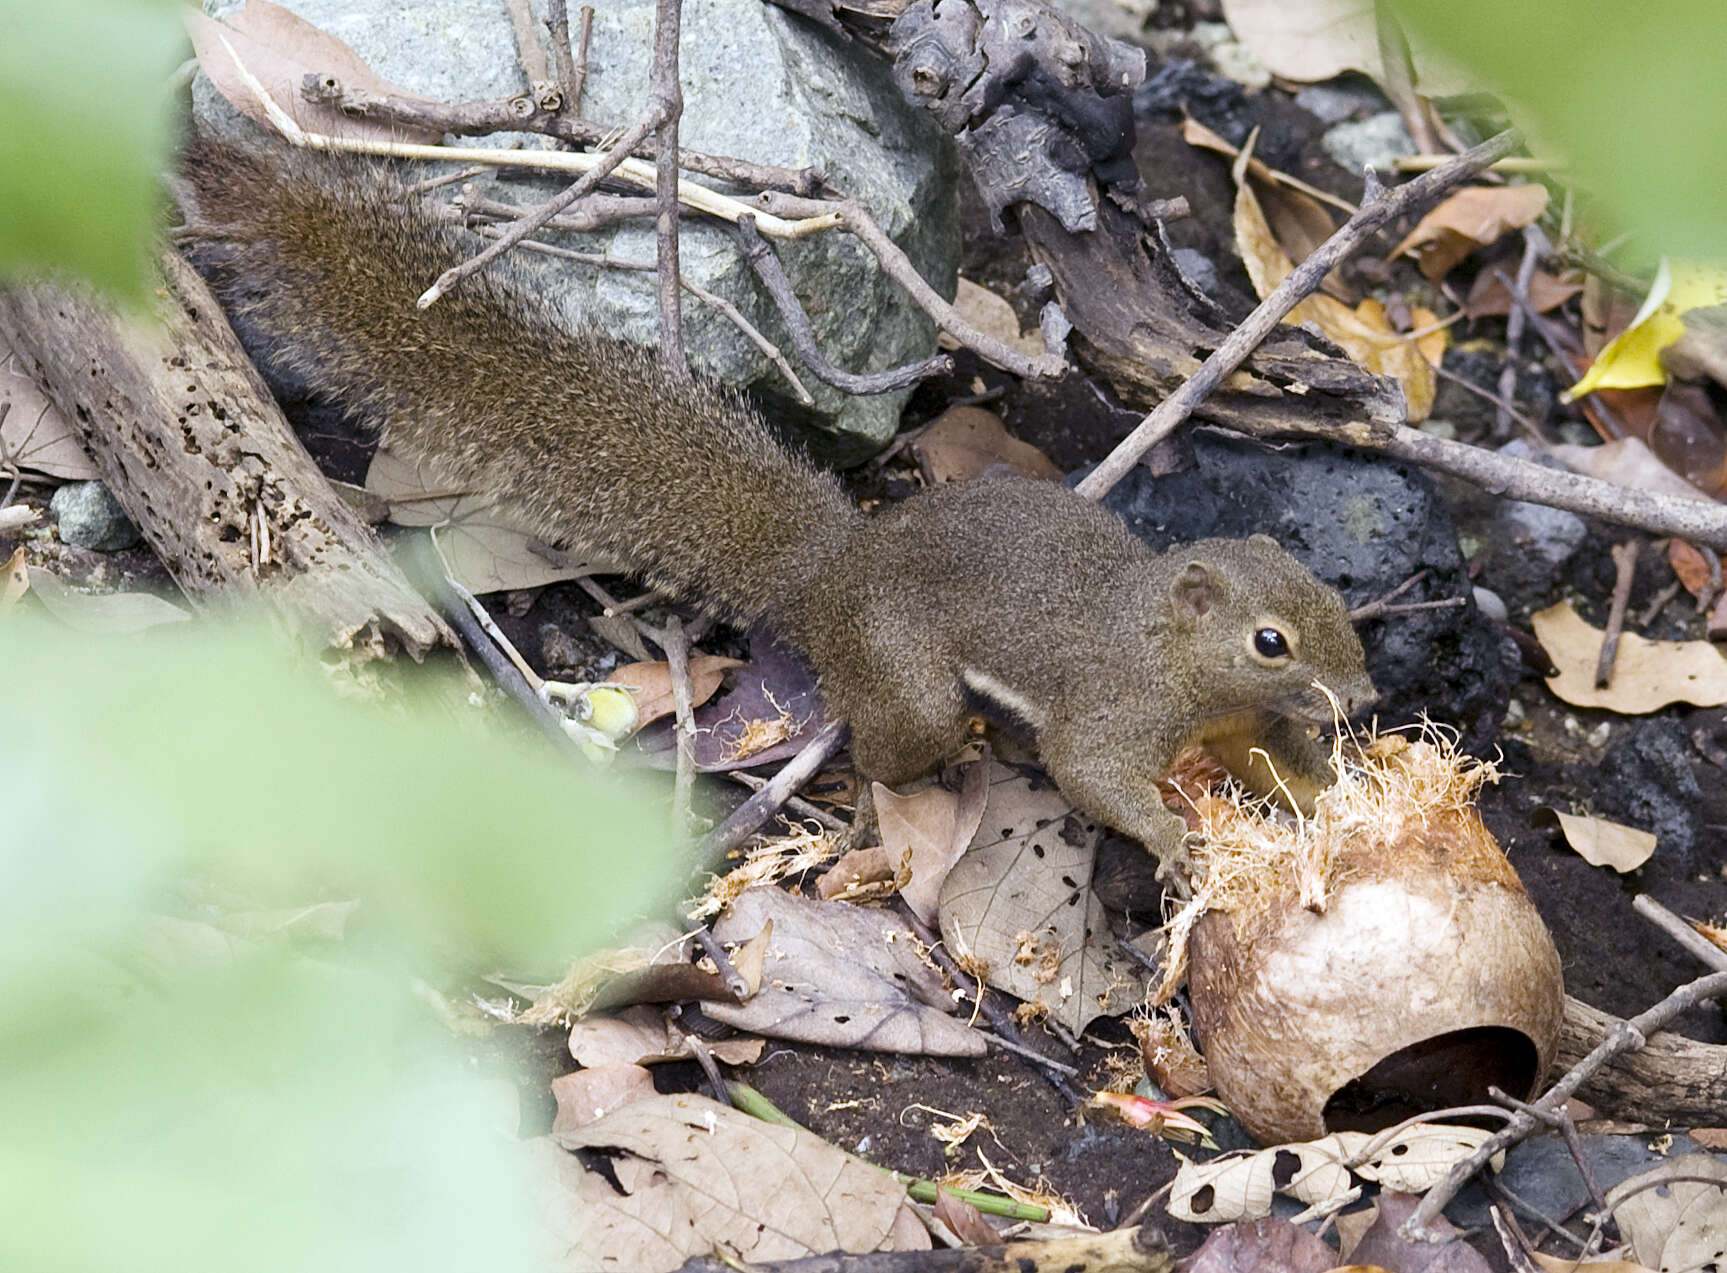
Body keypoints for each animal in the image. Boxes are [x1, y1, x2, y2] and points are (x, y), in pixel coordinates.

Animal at [178, 136, 1374, 874]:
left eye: (1332, 600)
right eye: (1269, 639)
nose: (1359, 694)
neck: (1165, 650)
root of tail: (836, 569)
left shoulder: (1239, 723)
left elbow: (1276, 760)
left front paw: (1332, 794)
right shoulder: (1113, 712)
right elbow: (1090, 775)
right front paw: (1171, 844)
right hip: (904, 679)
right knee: (894, 744)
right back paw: (919, 777)